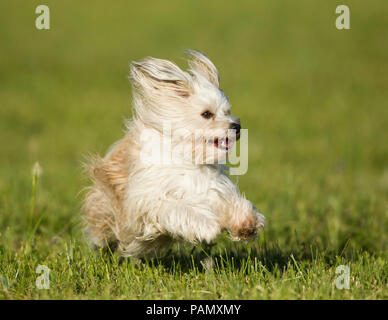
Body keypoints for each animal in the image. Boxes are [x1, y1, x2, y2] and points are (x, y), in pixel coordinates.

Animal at [82, 49, 264, 258]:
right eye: (207, 114)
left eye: (227, 111)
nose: (236, 126)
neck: (188, 159)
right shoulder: (150, 201)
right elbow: (180, 208)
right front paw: (207, 226)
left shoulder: (212, 190)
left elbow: (228, 204)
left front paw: (246, 223)